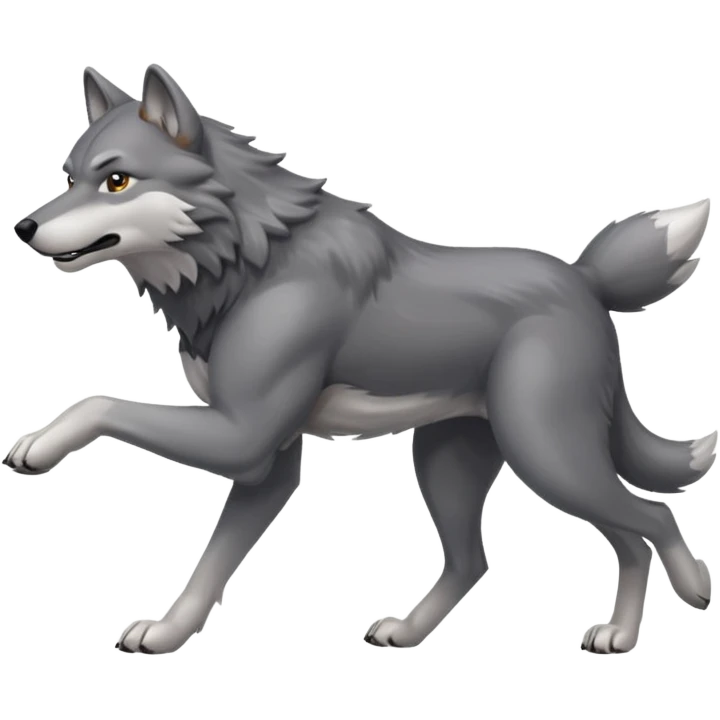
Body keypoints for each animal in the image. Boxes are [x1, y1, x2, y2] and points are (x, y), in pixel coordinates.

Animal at [5, 64, 715, 656]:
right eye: (69, 177)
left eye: (117, 180)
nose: (24, 228)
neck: (244, 260)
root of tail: (584, 280)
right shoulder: (266, 461)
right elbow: (213, 562)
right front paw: (170, 632)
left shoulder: (241, 436)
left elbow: (101, 401)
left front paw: (38, 445)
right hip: (450, 457)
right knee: (478, 560)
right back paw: (413, 631)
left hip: (546, 452)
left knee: (649, 519)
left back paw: (667, 607)